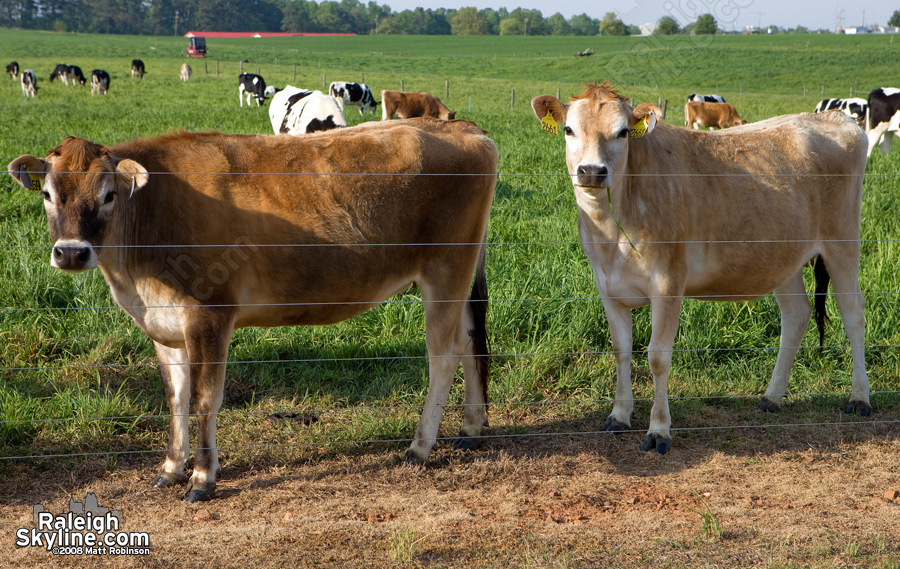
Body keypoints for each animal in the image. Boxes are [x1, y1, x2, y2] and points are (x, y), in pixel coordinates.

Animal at [8, 116, 500, 502]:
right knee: (470, 342)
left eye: (109, 194)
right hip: (459, 276)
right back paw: (471, 429)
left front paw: (202, 479)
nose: (72, 253)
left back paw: (419, 448)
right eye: (48, 194)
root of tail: (461, 127)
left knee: (443, 356)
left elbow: (206, 398)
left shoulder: (209, 313)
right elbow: (175, 396)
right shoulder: (164, 323)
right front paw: (170, 469)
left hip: (445, 270)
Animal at [532, 81, 868, 452]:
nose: (591, 171)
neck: (611, 231)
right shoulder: (607, 286)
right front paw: (619, 416)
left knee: (853, 313)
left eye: (622, 132)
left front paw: (658, 430)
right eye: (569, 130)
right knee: (796, 316)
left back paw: (859, 398)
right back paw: (772, 397)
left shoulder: (668, 282)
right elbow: (621, 350)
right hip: (784, 258)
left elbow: (657, 356)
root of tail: (835, 117)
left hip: (842, 242)